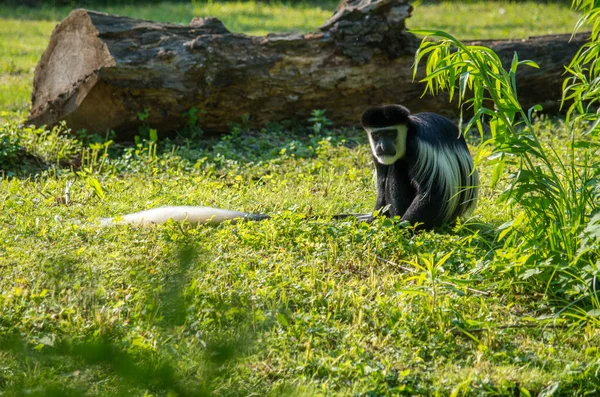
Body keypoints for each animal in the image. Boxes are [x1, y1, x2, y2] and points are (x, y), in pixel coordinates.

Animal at [102, 104, 478, 229]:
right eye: (377, 134)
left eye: (390, 133)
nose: (384, 144)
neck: (407, 129)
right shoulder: (375, 152)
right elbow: (382, 180)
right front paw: (380, 218)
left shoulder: (417, 147)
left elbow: (430, 191)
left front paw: (402, 228)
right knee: (390, 171)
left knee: (400, 170)